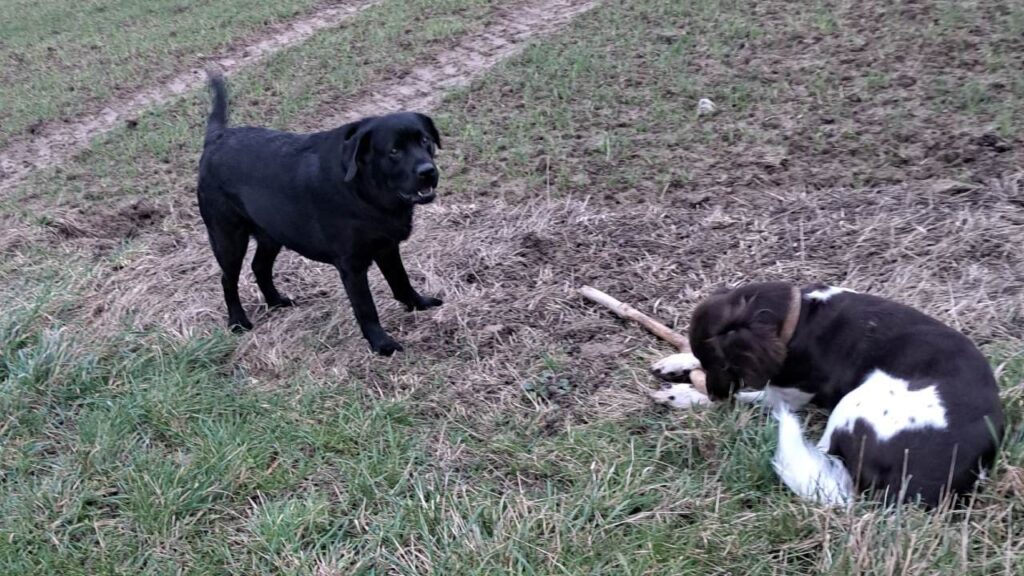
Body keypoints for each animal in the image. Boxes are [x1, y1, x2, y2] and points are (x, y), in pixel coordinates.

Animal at [197, 72, 442, 354]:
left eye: (425, 140)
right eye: (394, 151)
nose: (428, 172)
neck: (366, 191)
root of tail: (216, 137)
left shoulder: (387, 247)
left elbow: (401, 281)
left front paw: (419, 304)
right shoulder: (352, 264)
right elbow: (366, 308)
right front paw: (382, 344)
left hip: (272, 232)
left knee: (259, 266)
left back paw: (276, 301)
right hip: (228, 237)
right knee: (228, 280)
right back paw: (238, 321)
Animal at [651, 280, 1003, 502]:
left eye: (722, 365)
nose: (713, 392)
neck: (801, 318)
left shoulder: (792, 394)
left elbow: (744, 398)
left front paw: (685, 395)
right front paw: (678, 361)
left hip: (856, 401)